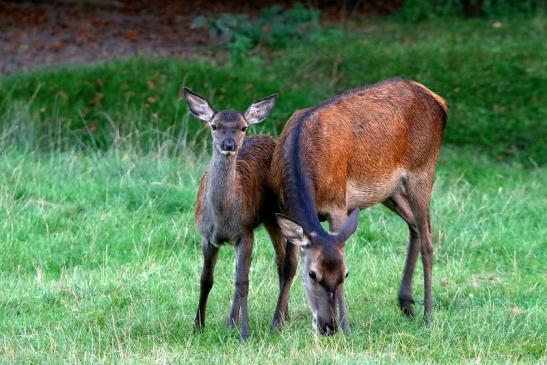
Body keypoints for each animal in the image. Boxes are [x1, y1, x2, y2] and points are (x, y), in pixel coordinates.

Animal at [185, 86, 284, 340]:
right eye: (214, 125)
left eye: (243, 127)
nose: (229, 145)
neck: (222, 218)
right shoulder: (207, 236)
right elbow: (206, 279)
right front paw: (198, 325)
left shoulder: (245, 231)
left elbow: (243, 283)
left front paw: (245, 332)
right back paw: (232, 322)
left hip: (277, 215)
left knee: (285, 262)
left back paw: (278, 320)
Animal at [270, 78, 450, 334]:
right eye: (312, 274)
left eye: (345, 275)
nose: (328, 327)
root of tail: (439, 100)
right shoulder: (287, 210)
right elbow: (289, 265)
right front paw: (277, 322)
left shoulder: (337, 204)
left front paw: (347, 327)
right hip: (389, 190)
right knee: (415, 226)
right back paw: (406, 303)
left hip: (423, 170)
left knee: (428, 240)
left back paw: (428, 316)